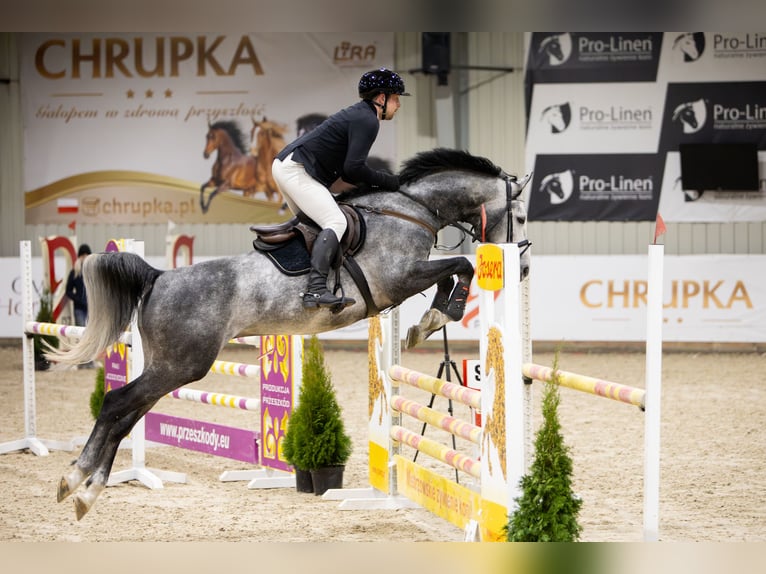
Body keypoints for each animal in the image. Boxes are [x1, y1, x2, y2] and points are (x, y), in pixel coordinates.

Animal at [46, 147, 531, 520]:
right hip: (181, 365)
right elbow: (461, 265)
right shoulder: (400, 278)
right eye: (522, 216)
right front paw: (437, 317)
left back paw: (83, 489)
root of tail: (158, 276)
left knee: (127, 414)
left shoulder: (403, 282)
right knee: (117, 403)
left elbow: (454, 272)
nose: (523, 267)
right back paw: (77, 482)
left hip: (170, 366)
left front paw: (425, 322)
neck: (410, 211)